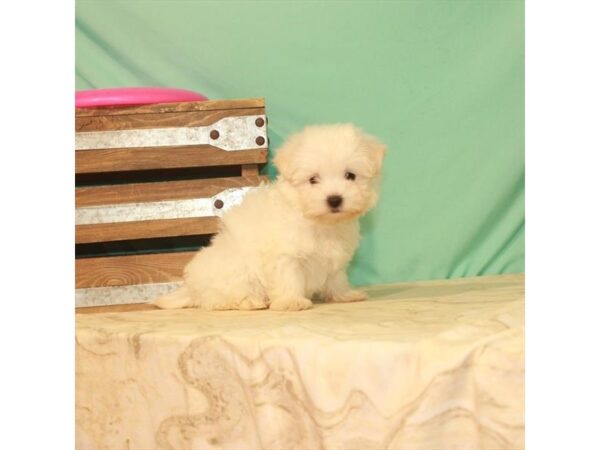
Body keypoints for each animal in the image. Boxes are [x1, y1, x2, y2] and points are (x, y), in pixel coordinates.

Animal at [151, 125, 384, 312]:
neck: (320, 223)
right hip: (235, 270)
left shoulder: (335, 256)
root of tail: (192, 287)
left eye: (350, 176)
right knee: (218, 299)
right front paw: (292, 302)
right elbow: (288, 276)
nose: (334, 199)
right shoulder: (285, 254)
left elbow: (336, 277)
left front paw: (344, 294)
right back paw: (249, 302)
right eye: (313, 180)